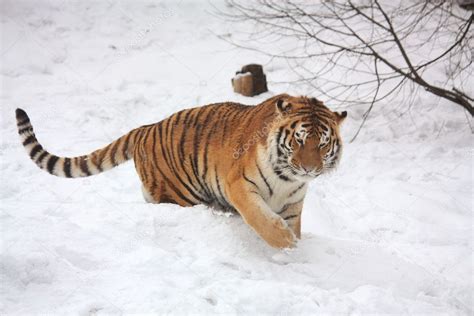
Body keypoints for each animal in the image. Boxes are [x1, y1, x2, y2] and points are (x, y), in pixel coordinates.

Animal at [14, 94, 346, 249]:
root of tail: (145, 128)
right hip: (179, 193)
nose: (309, 168)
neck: (288, 179)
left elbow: (291, 224)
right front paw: (284, 244)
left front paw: (293, 250)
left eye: (322, 144)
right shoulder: (240, 185)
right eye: (299, 140)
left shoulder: (292, 203)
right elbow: (263, 219)